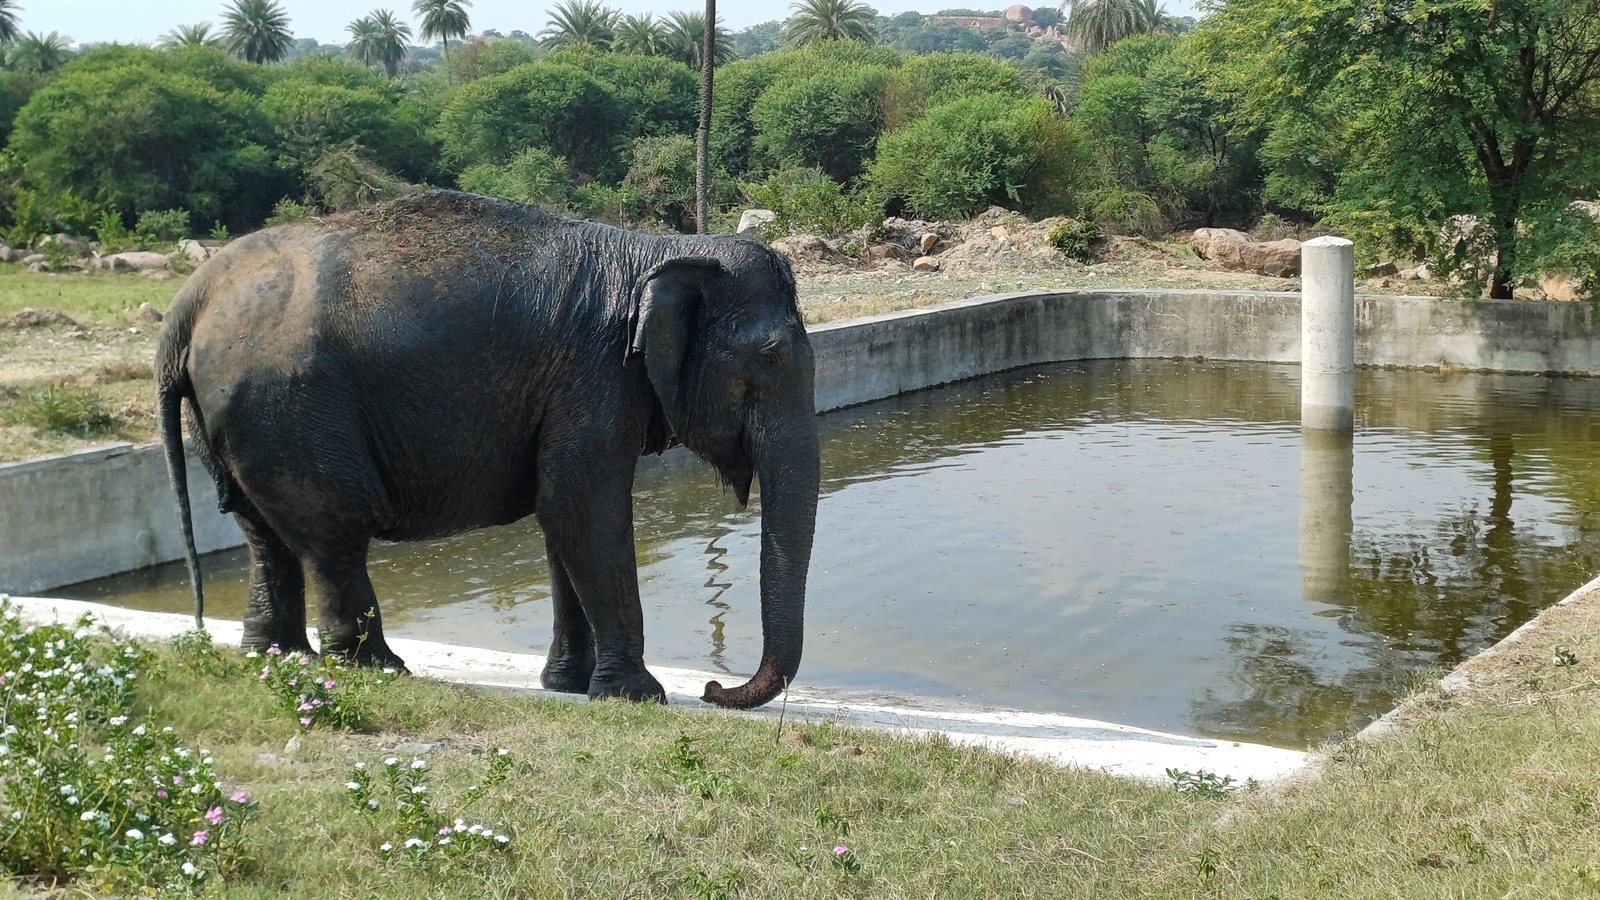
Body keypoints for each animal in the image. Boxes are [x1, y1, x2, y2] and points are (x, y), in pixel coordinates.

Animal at [156, 190, 819, 707]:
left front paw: (567, 686)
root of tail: (187, 305)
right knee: (331, 532)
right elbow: (582, 511)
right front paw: (637, 696)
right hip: (289, 409)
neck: (659, 251)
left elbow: (560, 518)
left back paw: (278, 657)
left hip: (234, 421)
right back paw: (375, 668)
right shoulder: (594, 375)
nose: (714, 689)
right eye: (769, 360)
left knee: (261, 531)